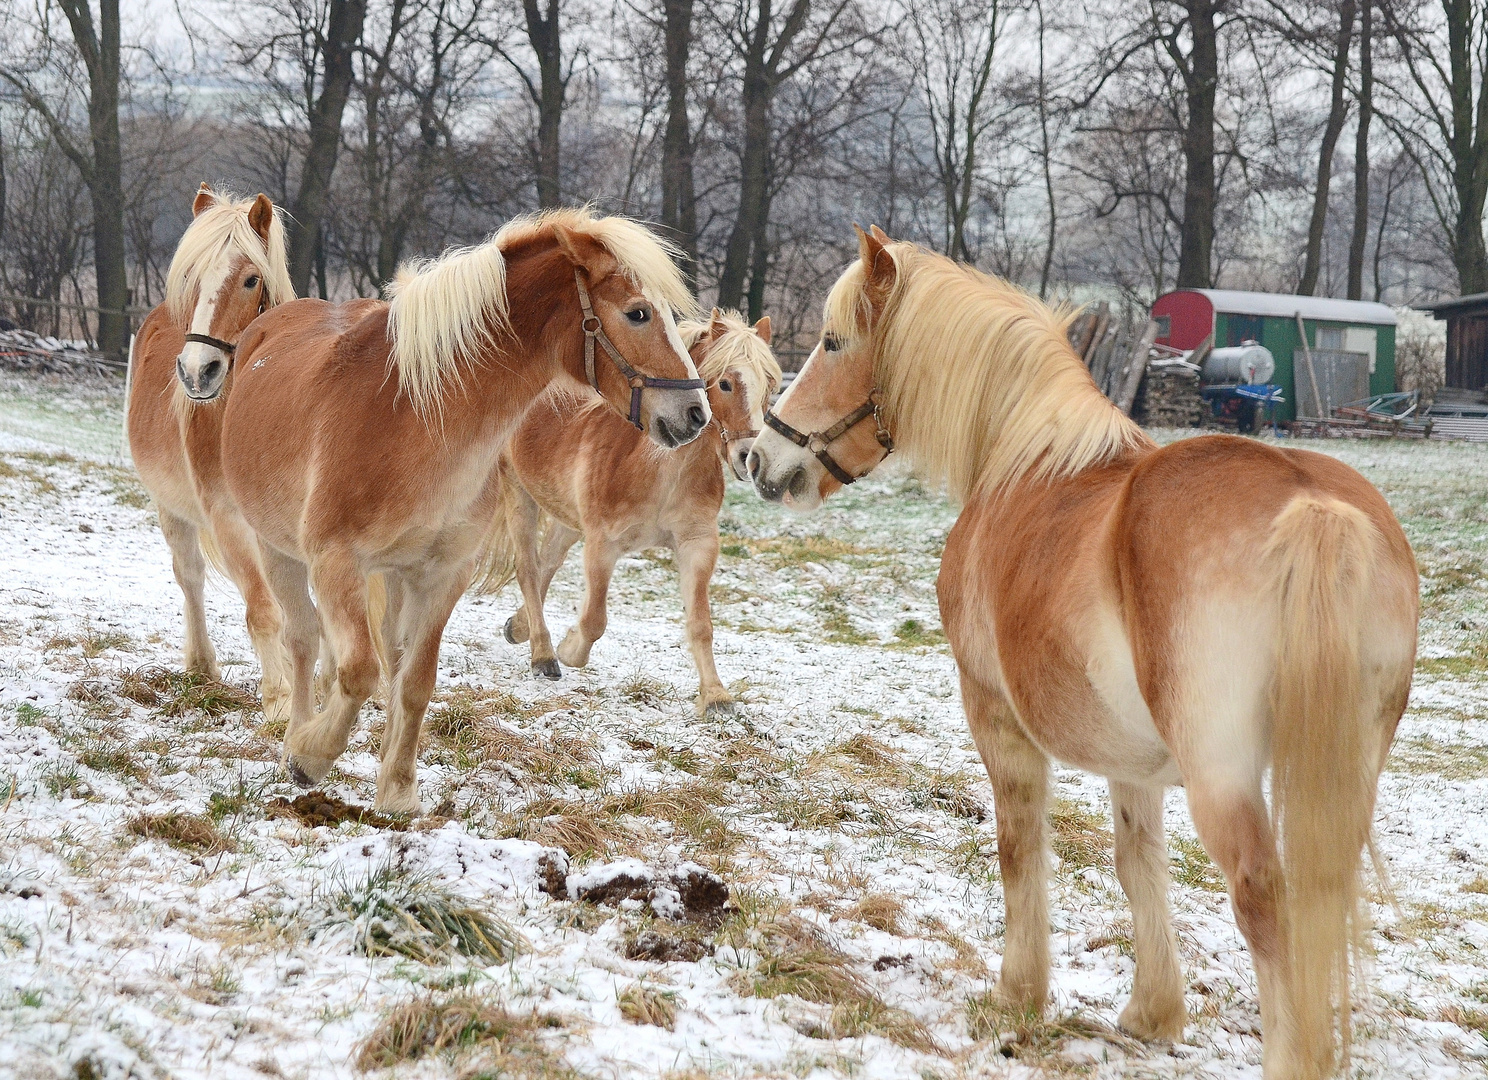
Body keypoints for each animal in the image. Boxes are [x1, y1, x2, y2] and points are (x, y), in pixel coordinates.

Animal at [129, 185, 300, 722]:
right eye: (192, 276)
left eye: (251, 279)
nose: (196, 371)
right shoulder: (228, 521)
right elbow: (264, 611)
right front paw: (281, 701)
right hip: (172, 511)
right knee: (191, 580)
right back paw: (202, 667)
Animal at [211, 206, 714, 815]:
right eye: (638, 313)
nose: (696, 414)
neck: (415, 419)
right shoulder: (335, 561)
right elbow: (358, 671)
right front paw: (311, 756)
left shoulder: (441, 575)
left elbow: (414, 680)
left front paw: (398, 789)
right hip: (278, 550)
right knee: (305, 639)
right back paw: (297, 735)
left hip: (392, 574)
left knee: (384, 651)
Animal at [479, 304, 785, 714]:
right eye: (725, 384)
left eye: (771, 386)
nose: (748, 459)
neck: (659, 470)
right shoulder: (602, 546)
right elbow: (594, 618)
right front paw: (569, 648)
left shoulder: (697, 546)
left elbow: (701, 625)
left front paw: (715, 695)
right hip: (519, 493)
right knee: (528, 568)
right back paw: (543, 655)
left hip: (567, 519)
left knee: (546, 564)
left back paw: (518, 627)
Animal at [749, 224, 1422, 1077]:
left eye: (833, 342)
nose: (759, 459)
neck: (1021, 461)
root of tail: (1312, 506)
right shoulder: (1133, 764)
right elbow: (1139, 865)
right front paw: (1153, 1013)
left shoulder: (995, 718)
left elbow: (1018, 845)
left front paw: (1018, 993)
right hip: (1347, 765)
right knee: (1318, 896)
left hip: (1225, 773)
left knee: (1263, 899)